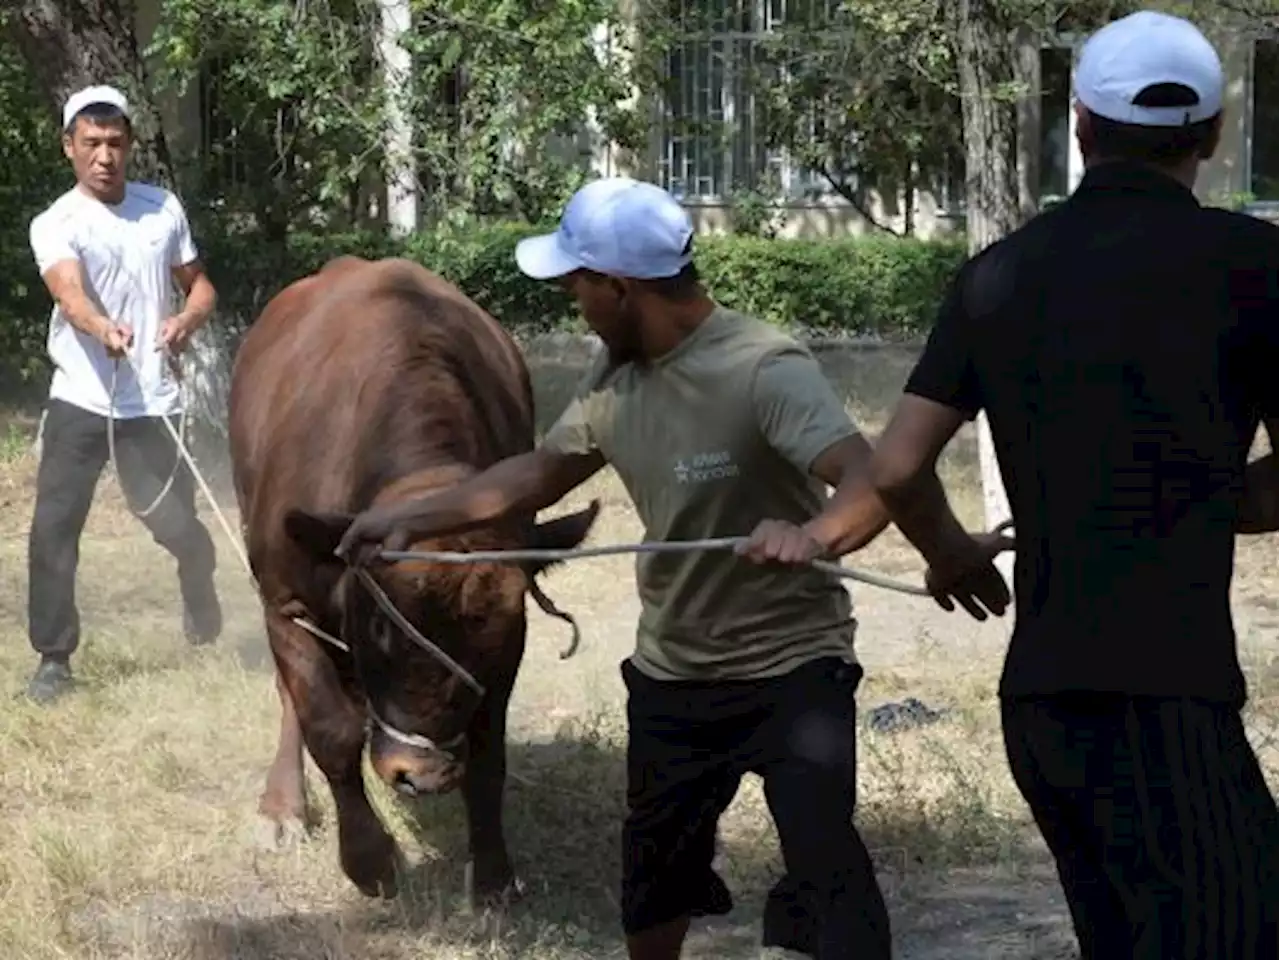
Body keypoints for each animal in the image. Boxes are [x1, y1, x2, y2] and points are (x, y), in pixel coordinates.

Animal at [226, 253, 599, 901]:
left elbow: (488, 750)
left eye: (496, 634)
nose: (420, 776)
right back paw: (283, 807)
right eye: (382, 628)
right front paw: (369, 860)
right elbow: (328, 728)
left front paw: (494, 874)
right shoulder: (286, 602)